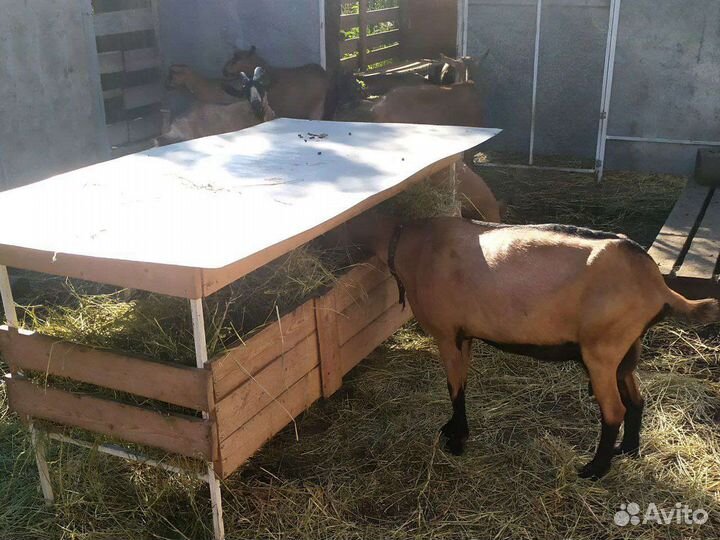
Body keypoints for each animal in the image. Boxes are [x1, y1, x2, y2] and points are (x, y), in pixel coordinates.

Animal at [343, 214, 720, 480]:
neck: (413, 243)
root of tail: (657, 284)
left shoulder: (447, 334)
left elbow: (454, 388)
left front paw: (456, 441)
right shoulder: (465, 335)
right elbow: (462, 383)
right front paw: (453, 430)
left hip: (601, 350)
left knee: (614, 409)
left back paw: (594, 470)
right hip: (627, 348)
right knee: (636, 399)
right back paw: (626, 451)